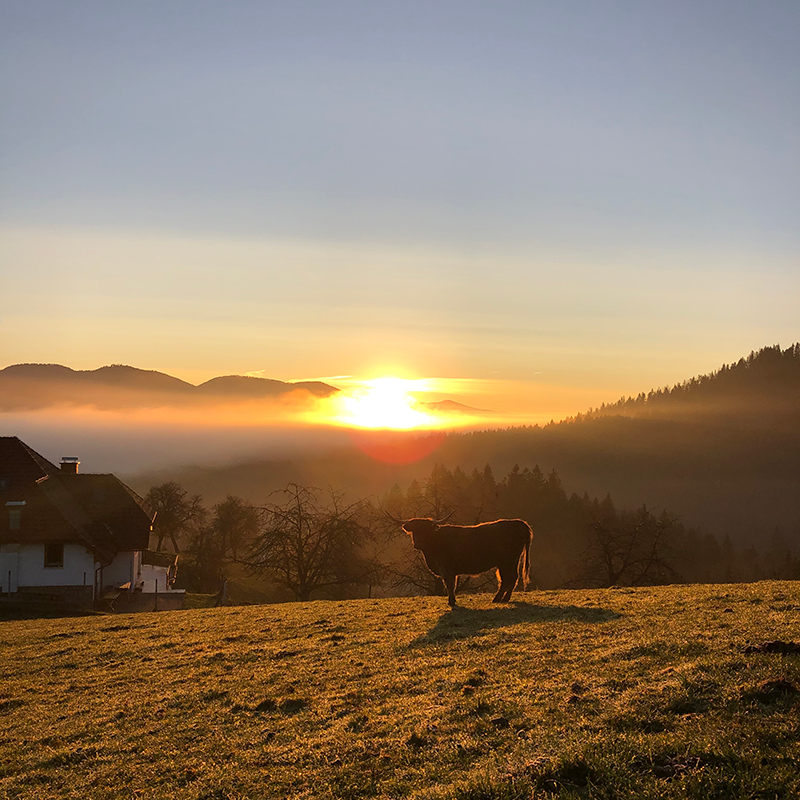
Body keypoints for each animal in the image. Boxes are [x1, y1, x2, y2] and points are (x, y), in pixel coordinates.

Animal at [390, 520, 536, 608]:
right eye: (414, 531)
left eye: (426, 530)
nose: (418, 544)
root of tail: (517, 522)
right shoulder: (451, 571)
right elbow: (452, 585)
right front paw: (452, 600)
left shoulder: (446, 569)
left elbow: (449, 585)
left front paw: (451, 602)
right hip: (510, 562)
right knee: (512, 578)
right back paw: (504, 598)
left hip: (507, 561)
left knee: (508, 579)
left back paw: (498, 598)